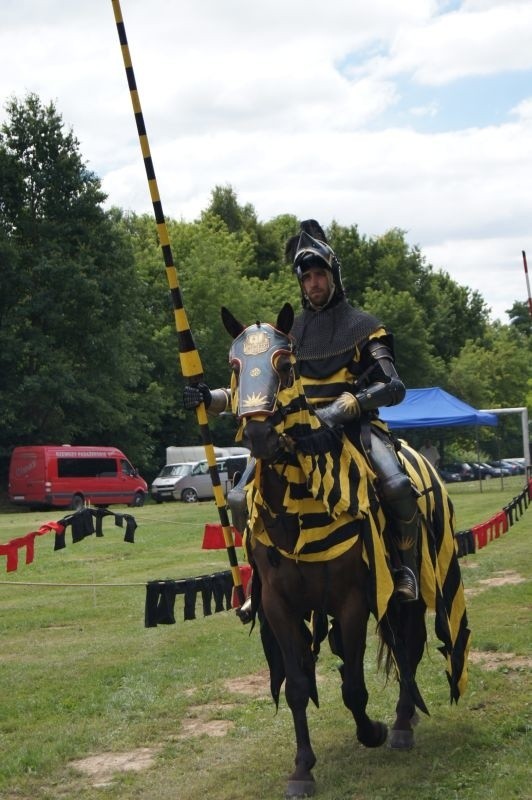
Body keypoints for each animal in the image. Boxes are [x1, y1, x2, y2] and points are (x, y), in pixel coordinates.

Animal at [222, 304, 472, 796]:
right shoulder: (279, 605)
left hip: (409, 589)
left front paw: (372, 730)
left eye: (286, 364)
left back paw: (402, 723)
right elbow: (299, 686)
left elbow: (354, 685)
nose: (259, 435)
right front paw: (302, 769)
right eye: (236, 366)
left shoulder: (352, 599)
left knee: (409, 646)